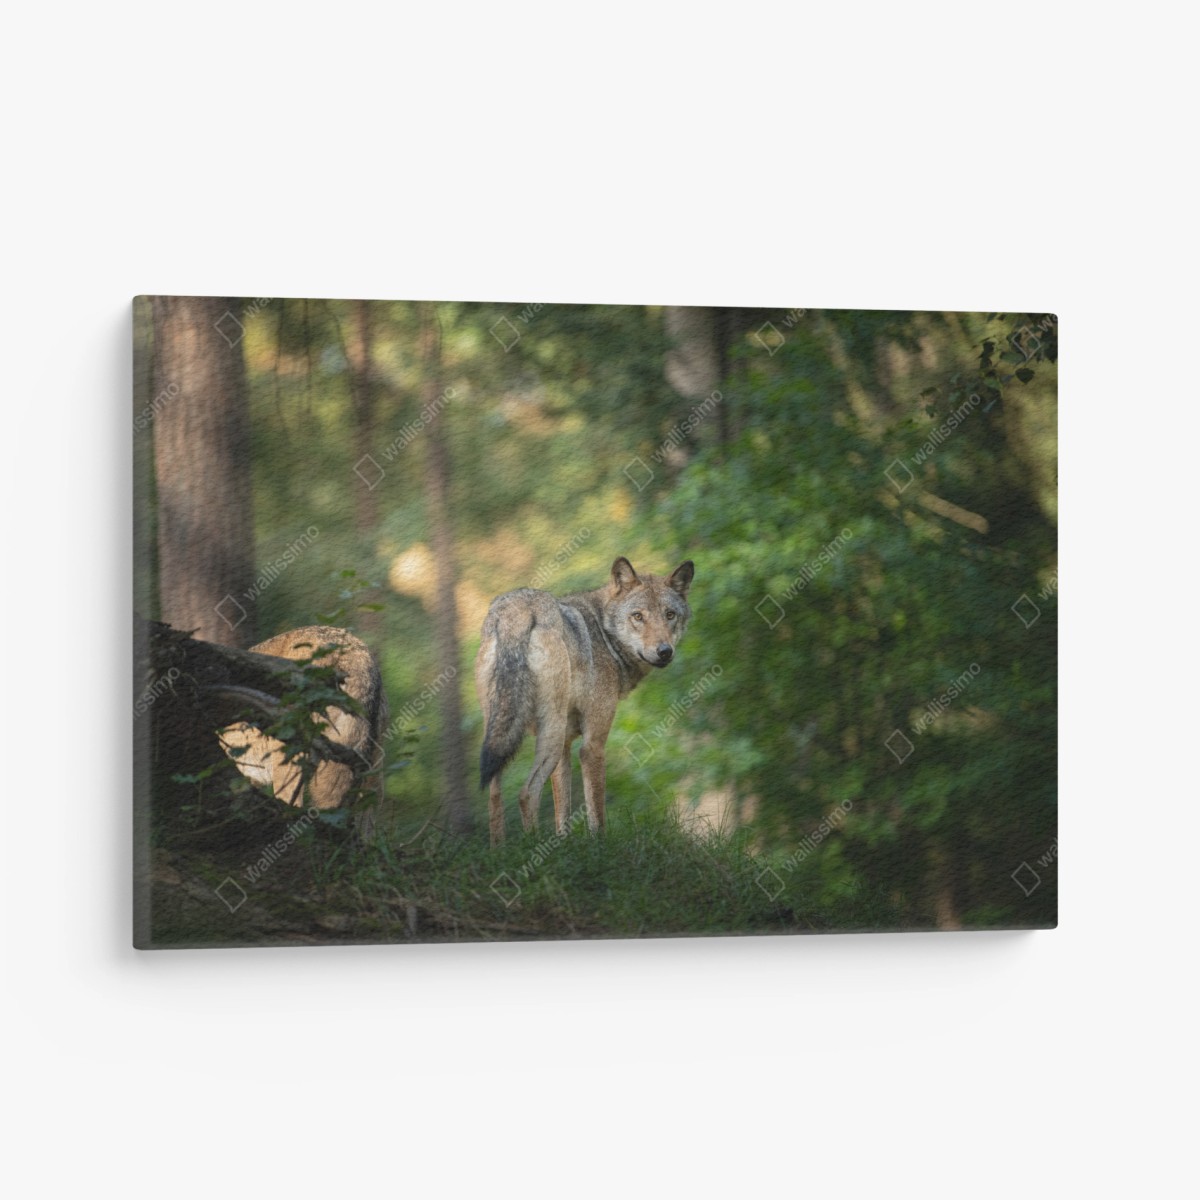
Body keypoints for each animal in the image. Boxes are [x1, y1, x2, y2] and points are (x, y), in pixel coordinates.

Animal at [476, 556, 694, 845]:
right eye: (638, 616)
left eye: (670, 615)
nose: (664, 651)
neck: (605, 635)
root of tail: (517, 610)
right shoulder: (592, 745)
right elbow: (596, 812)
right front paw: (599, 846)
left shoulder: (566, 748)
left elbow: (562, 812)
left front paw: (562, 845)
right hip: (550, 735)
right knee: (526, 793)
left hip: (503, 735)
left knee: (494, 794)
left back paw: (498, 850)